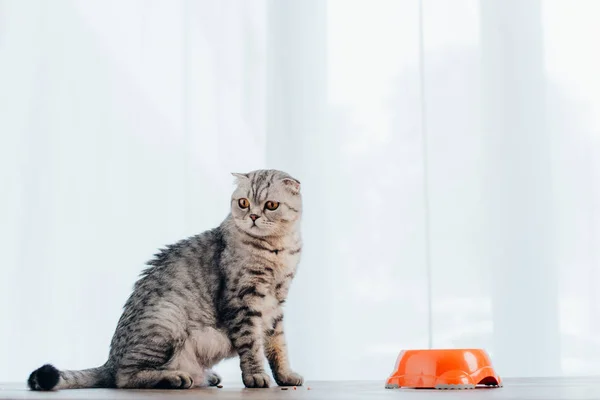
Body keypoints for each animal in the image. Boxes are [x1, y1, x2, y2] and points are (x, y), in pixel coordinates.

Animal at [27, 170, 304, 390]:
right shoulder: (243, 302)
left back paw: (205, 376)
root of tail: (110, 360)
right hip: (166, 318)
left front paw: (286, 375)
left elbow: (278, 346)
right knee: (124, 377)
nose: (253, 216)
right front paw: (256, 376)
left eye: (271, 205)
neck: (277, 250)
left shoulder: (275, 306)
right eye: (243, 203)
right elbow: (252, 346)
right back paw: (174, 378)